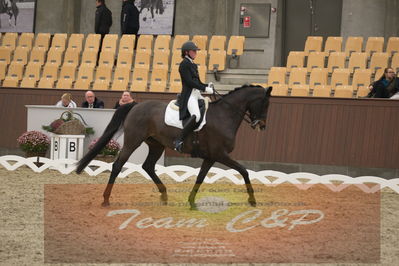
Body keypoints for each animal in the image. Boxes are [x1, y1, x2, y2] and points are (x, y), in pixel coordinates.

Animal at [76, 85, 274, 210]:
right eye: (265, 103)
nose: (262, 125)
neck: (224, 115)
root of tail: (136, 105)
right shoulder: (220, 154)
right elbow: (244, 171)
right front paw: (252, 199)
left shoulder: (210, 157)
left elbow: (200, 178)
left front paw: (192, 202)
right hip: (133, 141)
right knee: (118, 165)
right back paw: (106, 200)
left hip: (156, 145)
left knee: (148, 166)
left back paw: (164, 196)